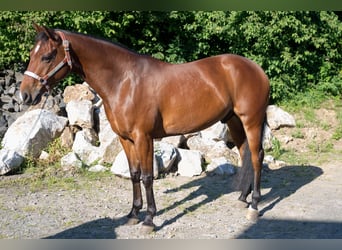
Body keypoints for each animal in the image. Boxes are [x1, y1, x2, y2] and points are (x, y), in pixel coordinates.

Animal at [19, 23, 270, 232]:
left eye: (47, 56)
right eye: (32, 55)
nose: (25, 95)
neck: (125, 81)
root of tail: (256, 69)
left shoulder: (143, 137)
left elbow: (148, 177)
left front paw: (149, 219)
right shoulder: (125, 139)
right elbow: (134, 174)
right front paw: (133, 214)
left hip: (252, 120)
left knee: (256, 157)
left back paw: (254, 206)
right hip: (234, 121)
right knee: (245, 154)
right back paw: (242, 198)